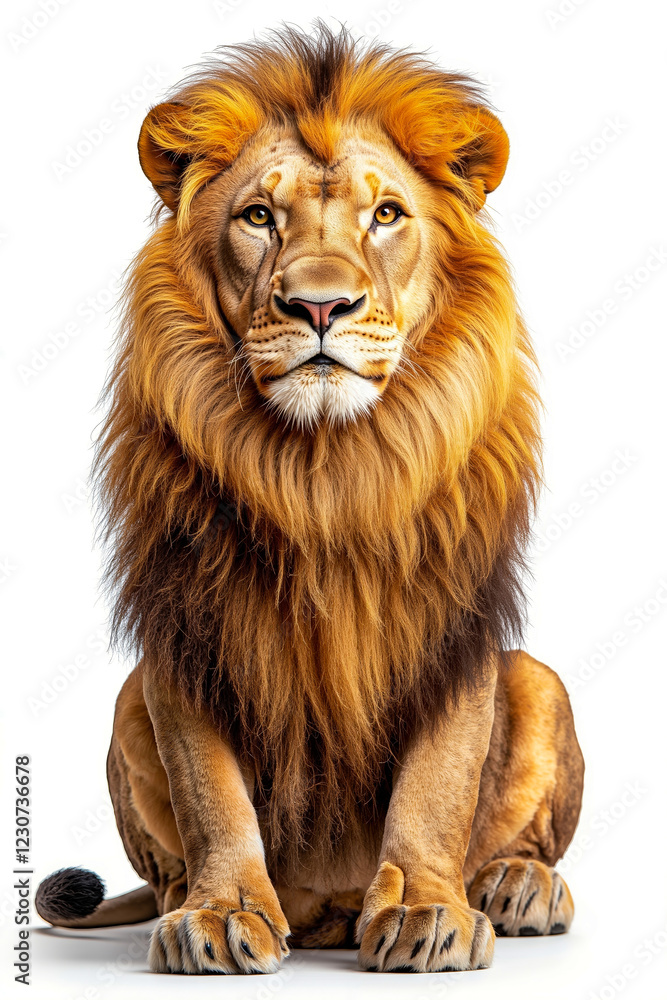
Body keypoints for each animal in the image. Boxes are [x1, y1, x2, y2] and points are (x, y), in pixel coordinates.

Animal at [35, 24, 584, 975]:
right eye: (259, 217)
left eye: (386, 215)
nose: (320, 306)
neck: (323, 469)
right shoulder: (186, 623)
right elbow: (208, 788)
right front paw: (220, 912)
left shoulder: (452, 618)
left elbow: (438, 781)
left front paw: (425, 907)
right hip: (128, 697)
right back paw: (184, 900)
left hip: (539, 679)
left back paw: (517, 885)